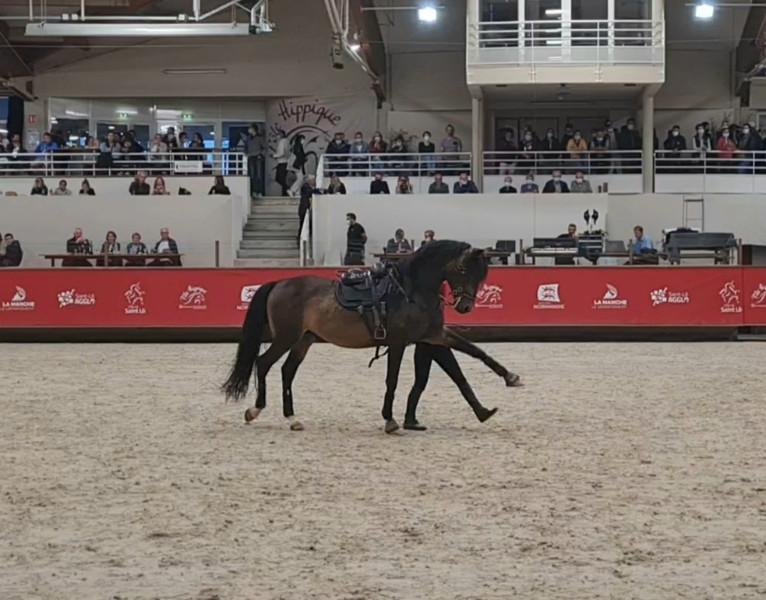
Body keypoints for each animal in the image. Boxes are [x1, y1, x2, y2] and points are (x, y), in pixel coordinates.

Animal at [222, 241, 520, 434]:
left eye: (482, 275)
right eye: (463, 269)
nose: (465, 306)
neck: (410, 290)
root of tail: (278, 284)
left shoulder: (434, 335)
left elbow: (474, 352)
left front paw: (508, 380)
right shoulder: (399, 342)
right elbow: (393, 379)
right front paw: (390, 421)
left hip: (304, 339)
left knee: (286, 371)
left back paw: (293, 418)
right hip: (287, 337)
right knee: (263, 363)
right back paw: (255, 410)